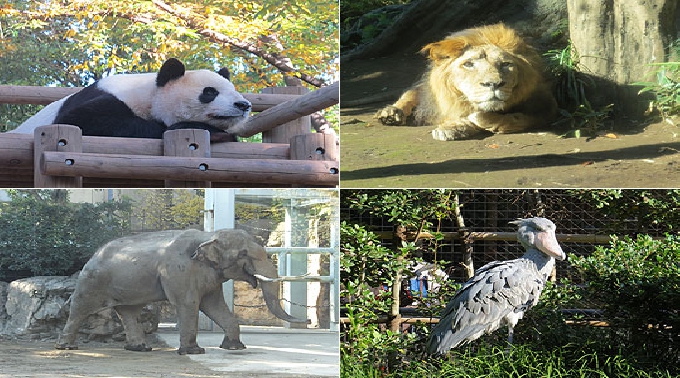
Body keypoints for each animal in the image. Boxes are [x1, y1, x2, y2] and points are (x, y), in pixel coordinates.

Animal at [10, 58, 251, 141]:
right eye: (210, 92)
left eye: (233, 90)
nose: (244, 105)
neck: (149, 94)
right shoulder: (110, 98)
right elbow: (80, 120)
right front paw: (208, 131)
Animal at [54, 227, 306, 354]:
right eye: (243, 254)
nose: (308, 320)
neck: (208, 236)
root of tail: (92, 255)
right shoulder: (179, 270)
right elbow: (189, 304)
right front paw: (193, 352)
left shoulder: (210, 275)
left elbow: (213, 306)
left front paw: (234, 348)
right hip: (92, 281)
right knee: (80, 309)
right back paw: (67, 347)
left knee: (129, 312)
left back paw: (140, 349)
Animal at [378, 23, 556, 142]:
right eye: (469, 64)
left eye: (506, 64)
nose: (494, 84)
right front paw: (453, 126)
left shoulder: (545, 108)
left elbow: (517, 117)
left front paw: (472, 121)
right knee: (412, 92)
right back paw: (391, 113)